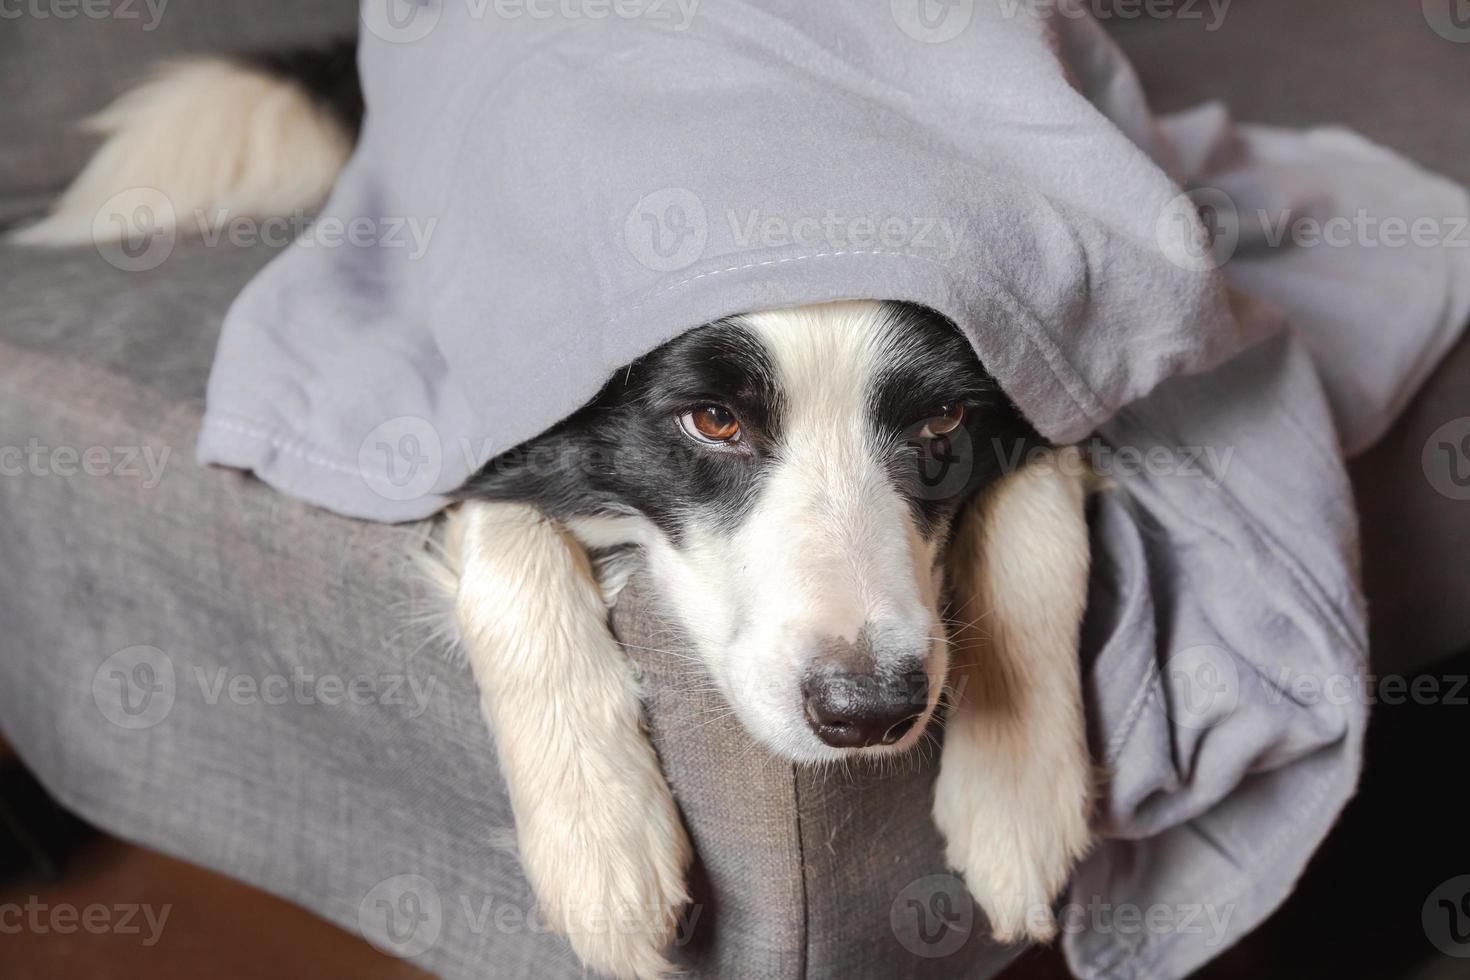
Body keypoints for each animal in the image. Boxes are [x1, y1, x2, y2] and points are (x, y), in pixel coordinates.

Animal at [20, 45, 1105, 980]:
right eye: (714, 420)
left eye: (944, 420)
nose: (868, 710)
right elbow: (501, 522)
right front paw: (599, 838)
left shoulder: (1049, 370)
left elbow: (1047, 516)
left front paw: (1019, 790)